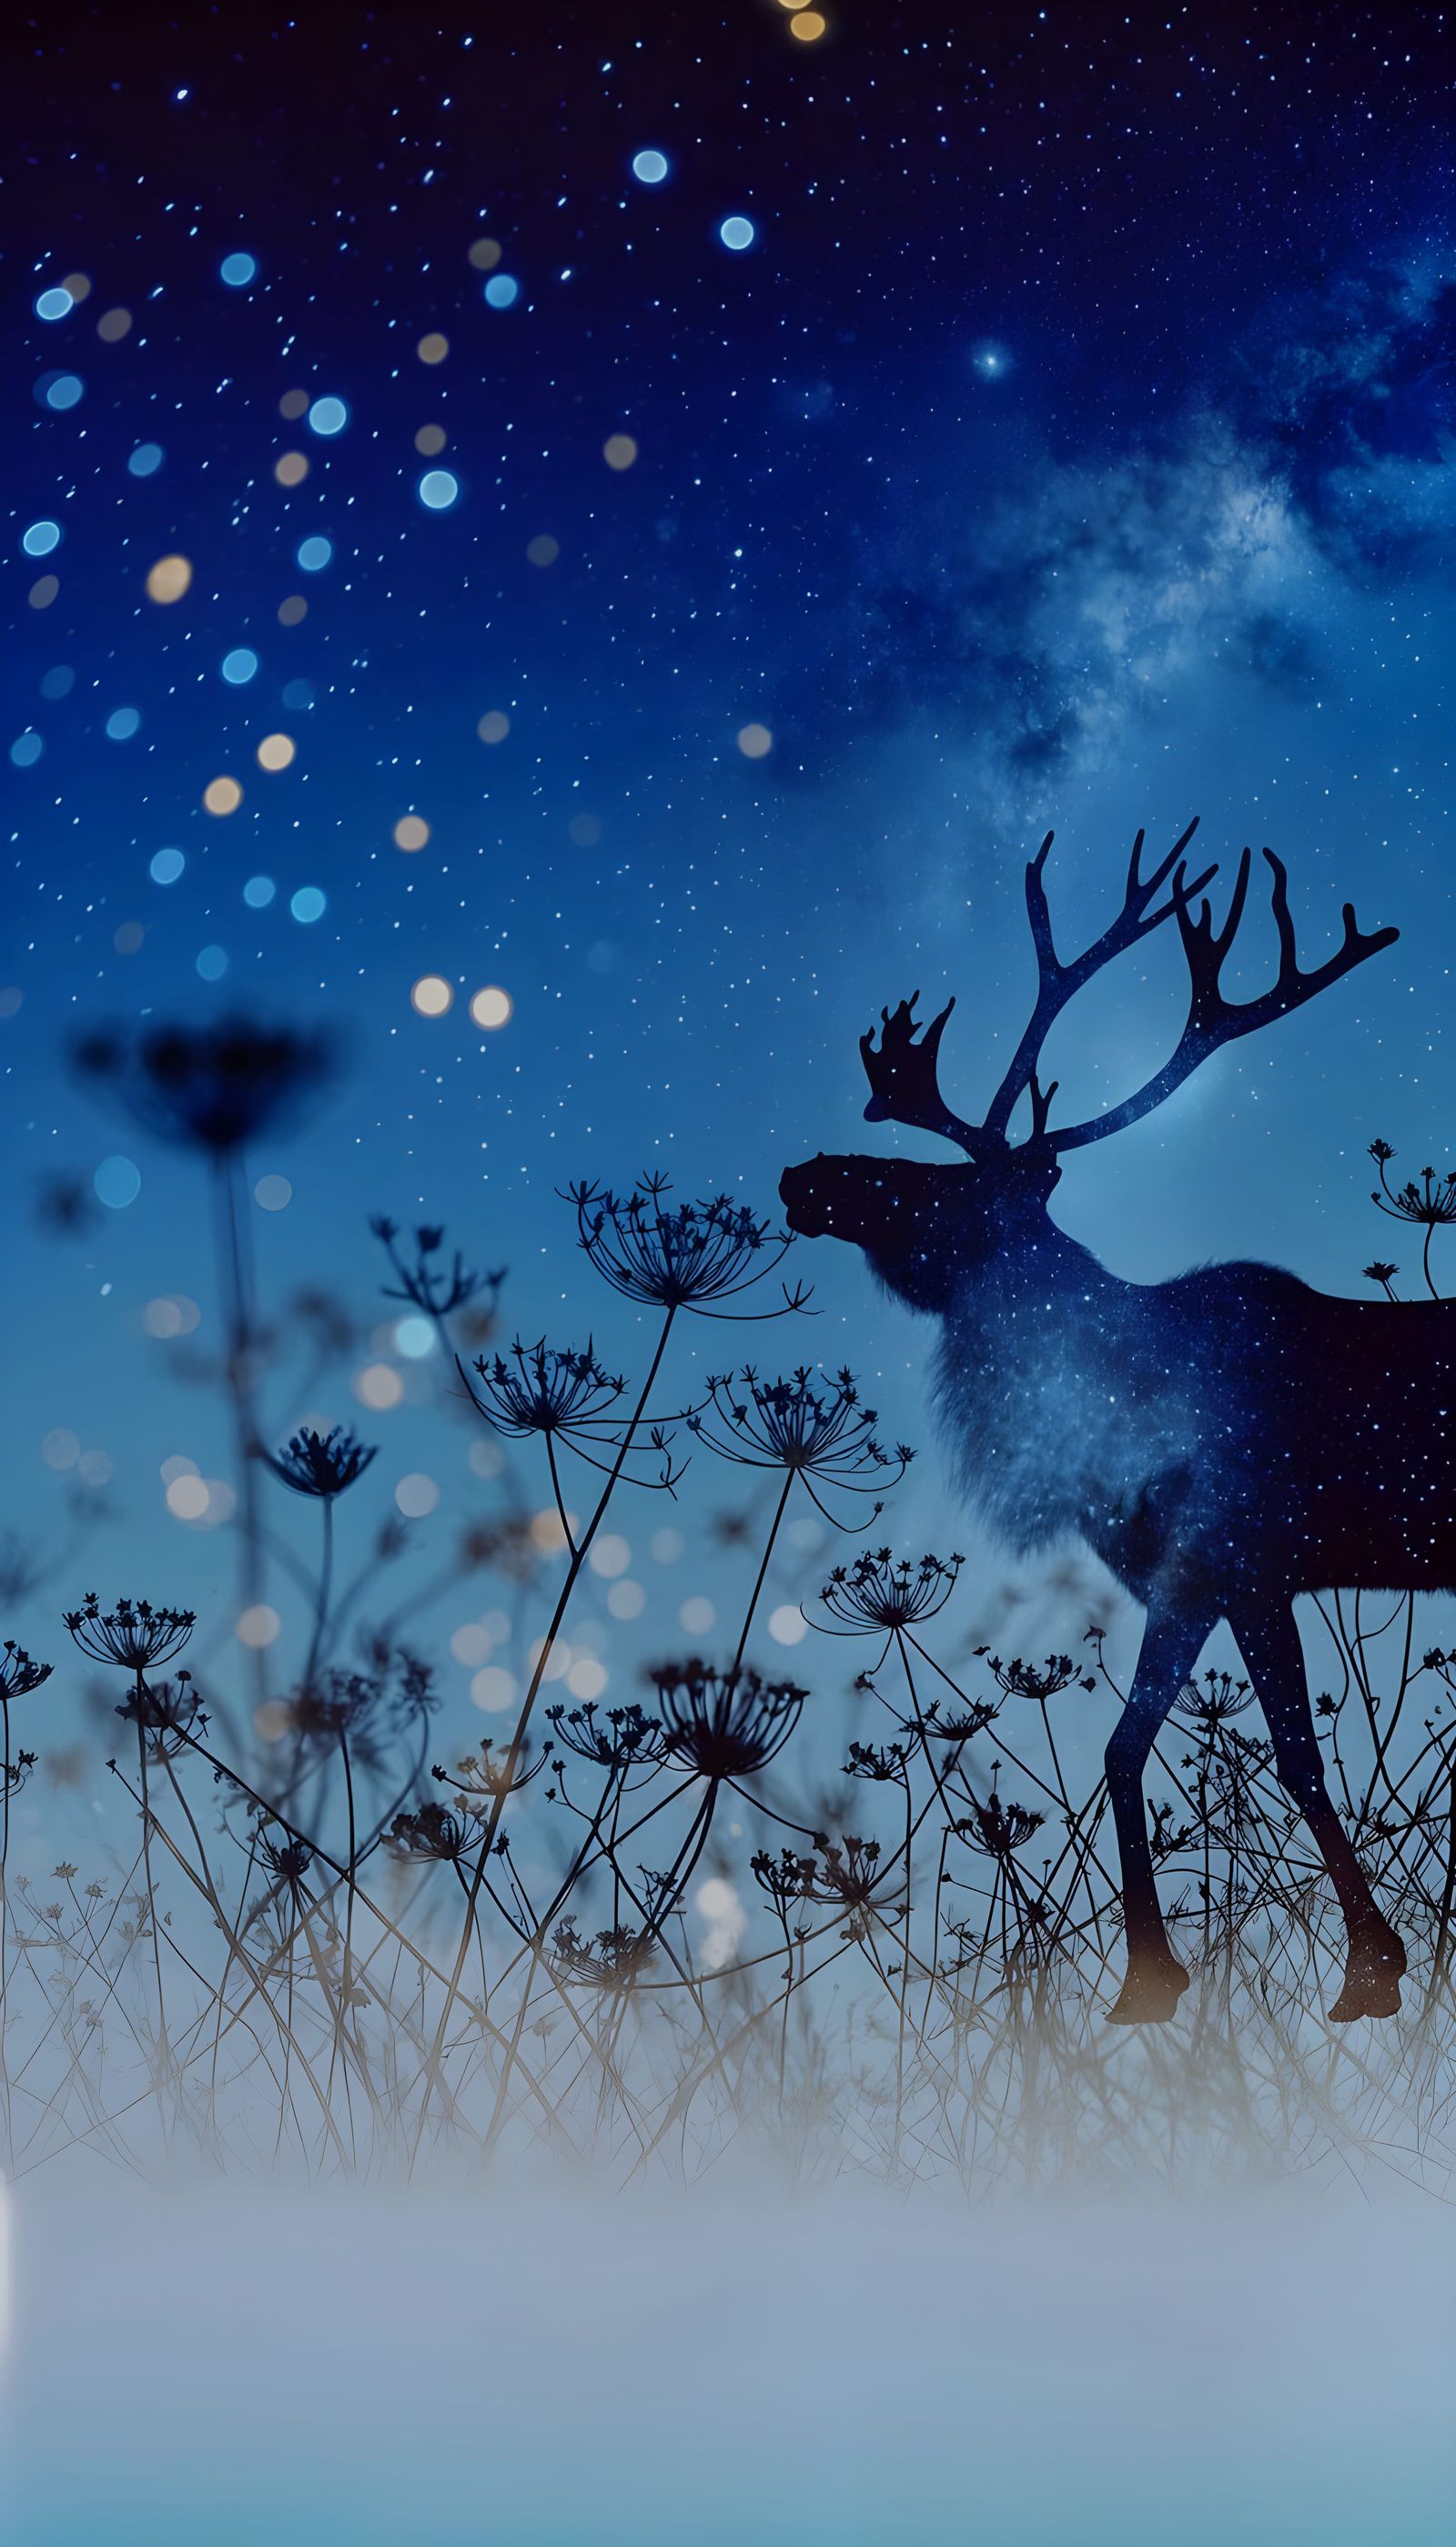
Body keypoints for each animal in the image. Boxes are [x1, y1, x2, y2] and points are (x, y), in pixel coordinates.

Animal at [778, 817, 1428, 2025]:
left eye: (948, 1190)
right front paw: (1165, 1973)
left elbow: (1247, 1754)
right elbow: (1158, 1747)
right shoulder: (1206, 1578)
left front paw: (1349, 1966)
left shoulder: (1236, 1557)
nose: (806, 1174)